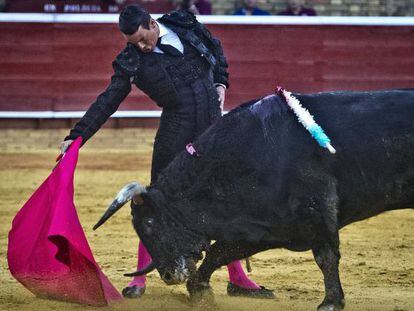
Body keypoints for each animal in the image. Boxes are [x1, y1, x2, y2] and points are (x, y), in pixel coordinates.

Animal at [94, 89, 414, 310]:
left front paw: (331, 302)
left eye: (149, 224)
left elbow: (326, 257)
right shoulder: (264, 227)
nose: (170, 276)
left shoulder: (316, 212)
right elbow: (220, 252)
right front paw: (200, 293)